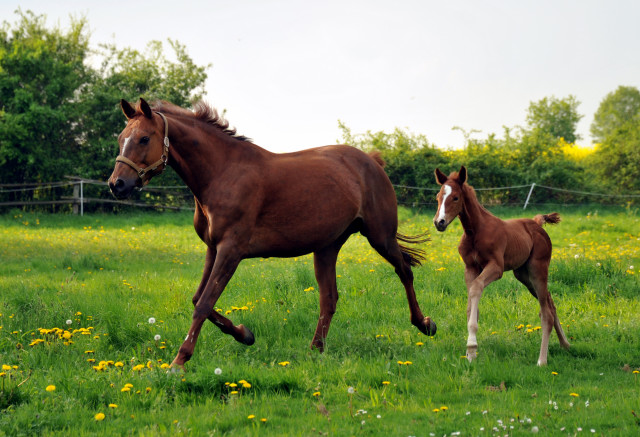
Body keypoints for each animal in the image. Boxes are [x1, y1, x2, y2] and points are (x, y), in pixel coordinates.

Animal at [110, 98, 438, 368]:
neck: (223, 173)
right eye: (121, 138)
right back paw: (315, 349)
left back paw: (425, 324)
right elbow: (198, 299)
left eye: (144, 138)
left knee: (404, 271)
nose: (117, 185)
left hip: (380, 236)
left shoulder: (231, 250)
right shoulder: (213, 248)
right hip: (327, 247)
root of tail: (372, 162)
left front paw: (179, 361)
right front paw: (245, 334)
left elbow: (203, 303)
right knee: (329, 298)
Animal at [432, 166, 568, 364]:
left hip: (538, 270)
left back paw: (542, 361)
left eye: (455, 197)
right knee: (550, 302)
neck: (476, 231)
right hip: (524, 275)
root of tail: (536, 223)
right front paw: (470, 354)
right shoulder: (470, 268)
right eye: (438, 197)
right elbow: (471, 303)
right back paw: (565, 344)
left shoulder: (496, 268)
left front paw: (471, 346)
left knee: (546, 313)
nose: (439, 222)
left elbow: (476, 288)